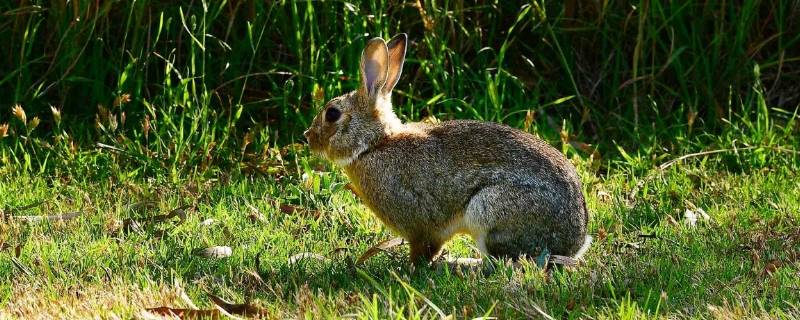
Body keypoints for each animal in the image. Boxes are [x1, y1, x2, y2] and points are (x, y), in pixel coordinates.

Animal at [304, 33, 592, 264]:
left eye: (332, 114)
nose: (308, 137)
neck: (375, 145)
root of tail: (575, 241)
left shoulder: (420, 227)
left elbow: (423, 250)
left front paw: (411, 269)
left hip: (489, 210)